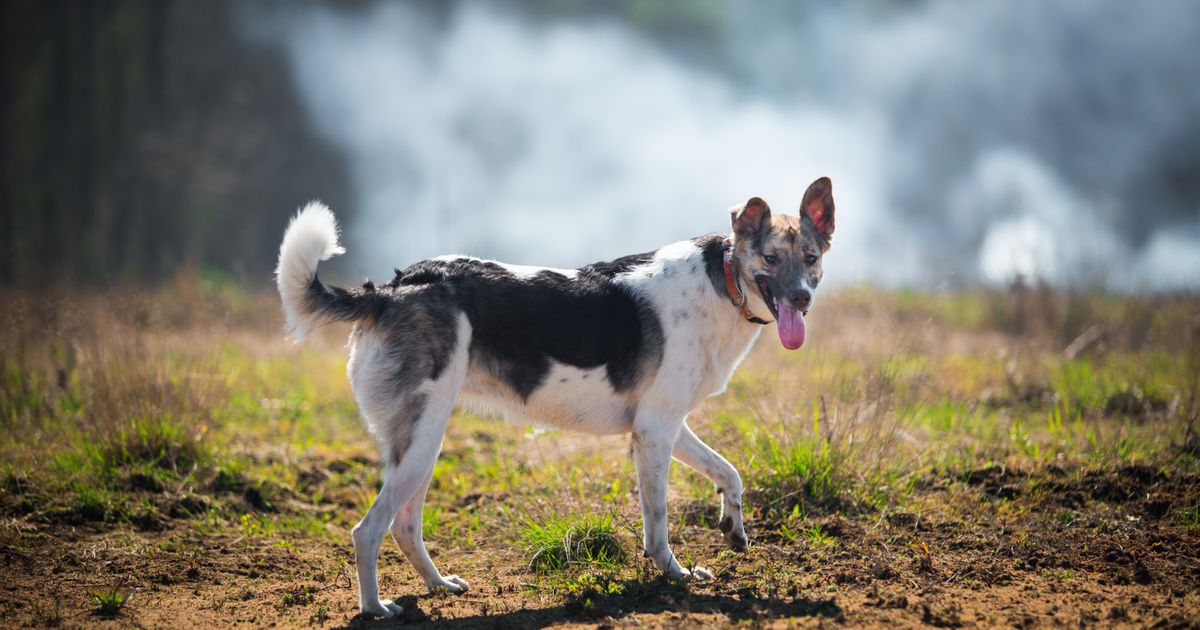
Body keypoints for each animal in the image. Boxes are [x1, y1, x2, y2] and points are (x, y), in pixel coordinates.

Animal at [274, 175, 835, 614]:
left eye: (811, 258)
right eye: (769, 258)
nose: (803, 298)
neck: (723, 282)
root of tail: (395, 288)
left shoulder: (663, 425)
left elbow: (729, 472)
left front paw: (733, 528)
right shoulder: (655, 433)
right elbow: (657, 522)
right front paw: (673, 575)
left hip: (422, 445)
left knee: (404, 526)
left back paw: (438, 586)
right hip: (420, 443)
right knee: (368, 530)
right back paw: (375, 608)